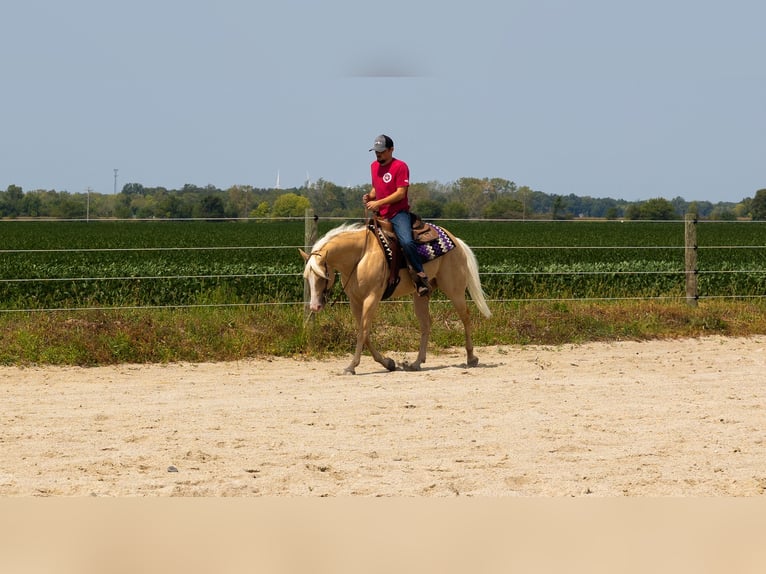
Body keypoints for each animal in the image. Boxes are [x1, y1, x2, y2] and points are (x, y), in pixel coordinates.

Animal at [300, 223, 492, 376]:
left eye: (323, 276)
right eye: (306, 277)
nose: (314, 307)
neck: (361, 256)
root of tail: (456, 241)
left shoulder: (372, 298)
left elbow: (363, 331)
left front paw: (351, 367)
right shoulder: (355, 301)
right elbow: (364, 333)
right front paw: (388, 363)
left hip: (454, 290)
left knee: (465, 317)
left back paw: (471, 358)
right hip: (421, 295)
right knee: (426, 324)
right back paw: (416, 363)